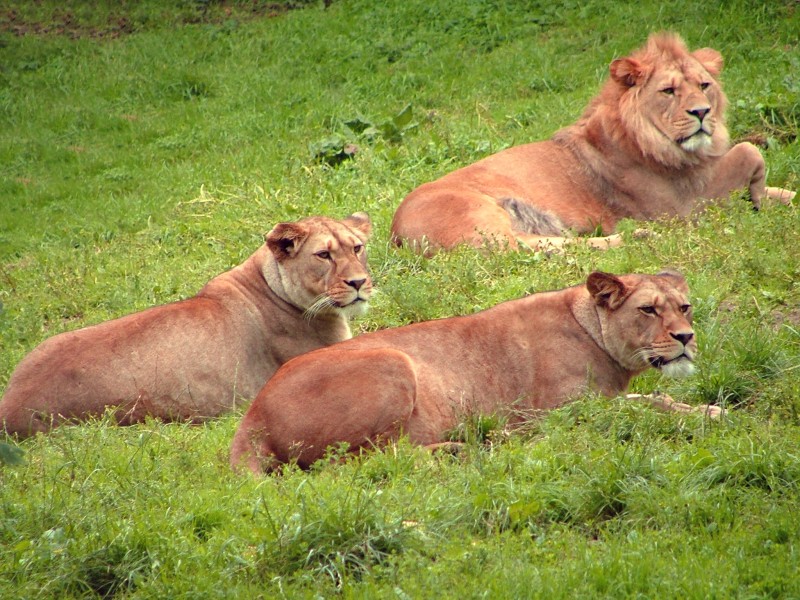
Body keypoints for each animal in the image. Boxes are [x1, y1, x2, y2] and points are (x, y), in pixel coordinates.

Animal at [231, 268, 720, 474]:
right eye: (648, 310)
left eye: (684, 307)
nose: (685, 337)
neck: (591, 327)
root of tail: (252, 417)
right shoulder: (564, 413)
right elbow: (643, 406)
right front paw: (708, 415)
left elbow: (651, 398)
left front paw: (707, 409)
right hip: (393, 362)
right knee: (352, 464)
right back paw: (466, 448)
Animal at [390, 31, 792, 252]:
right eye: (669, 91)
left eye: (704, 85)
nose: (702, 112)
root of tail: (394, 232)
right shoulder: (682, 210)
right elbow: (749, 152)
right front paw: (757, 199)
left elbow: (779, 186)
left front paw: (776, 198)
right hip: (481, 216)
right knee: (522, 250)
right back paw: (632, 239)